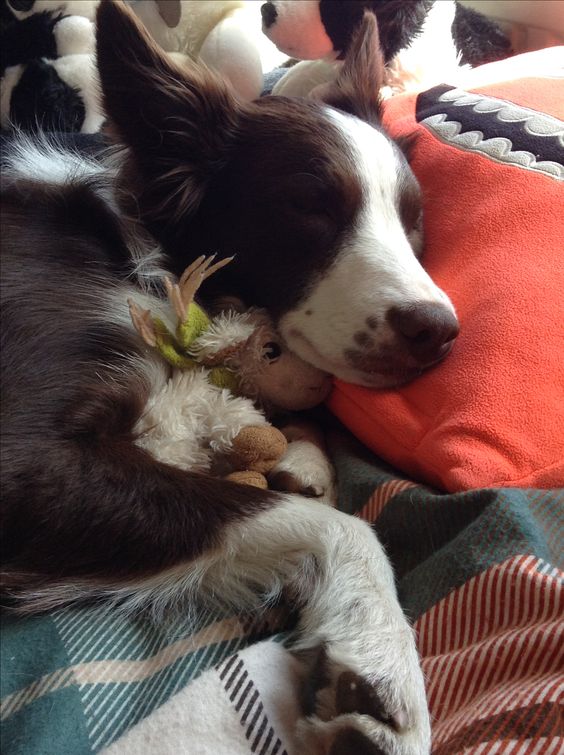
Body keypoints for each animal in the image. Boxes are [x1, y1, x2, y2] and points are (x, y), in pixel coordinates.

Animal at [0, 2, 458, 752]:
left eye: (413, 219)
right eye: (310, 207)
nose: (438, 332)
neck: (124, 237)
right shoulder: (25, 463)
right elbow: (339, 525)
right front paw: (381, 668)